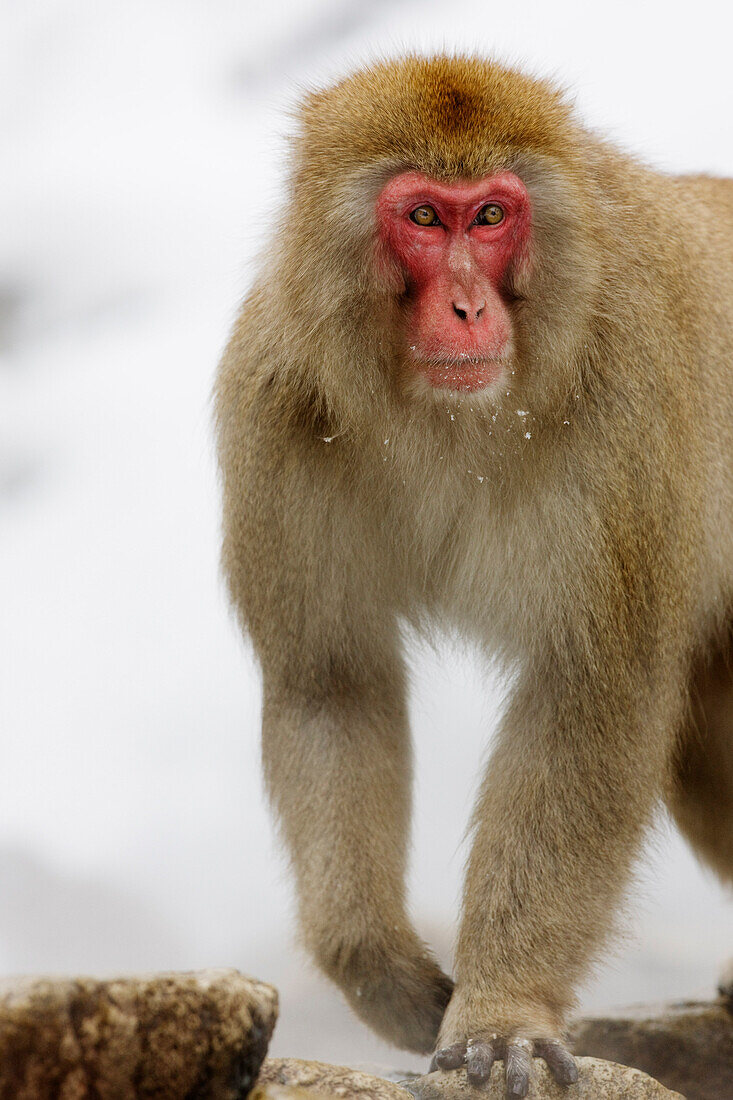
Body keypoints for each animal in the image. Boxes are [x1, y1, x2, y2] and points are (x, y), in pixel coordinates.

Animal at [214, 55, 730, 1095]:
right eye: (424, 217)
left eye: (489, 217)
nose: (465, 308)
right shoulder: (274, 401)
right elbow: (331, 683)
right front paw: (383, 973)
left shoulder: (630, 395)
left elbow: (592, 699)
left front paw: (503, 1014)